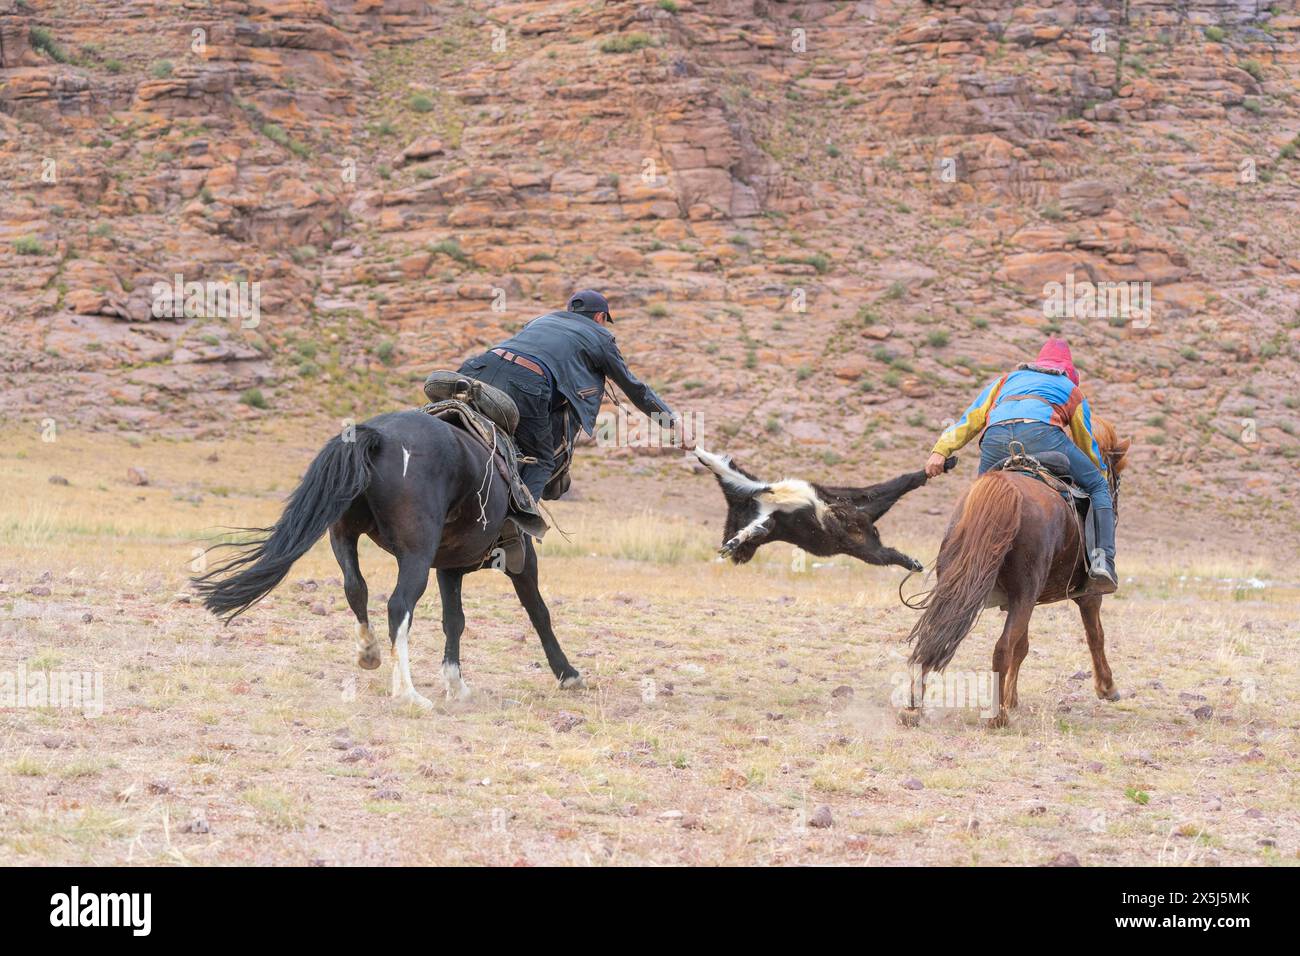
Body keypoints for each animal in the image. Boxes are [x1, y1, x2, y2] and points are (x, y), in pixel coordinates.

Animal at [191, 411, 579, 712]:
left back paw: (369, 652)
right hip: (416, 555)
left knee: (355, 589)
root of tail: (380, 437)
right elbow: (538, 612)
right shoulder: (520, 559)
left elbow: (454, 621)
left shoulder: (449, 567)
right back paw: (408, 694)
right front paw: (567, 674)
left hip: (343, 536)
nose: (563, 483)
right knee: (398, 605)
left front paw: (456, 684)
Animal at [904, 416, 1128, 723]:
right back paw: (997, 718)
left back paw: (913, 707)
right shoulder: (1087, 596)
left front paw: (1012, 699)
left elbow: (1023, 647)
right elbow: (1096, 635)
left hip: (962, 583)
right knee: (1001, 648)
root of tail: (1005, 487)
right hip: (1026, 593)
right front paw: (1107, 687)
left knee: (933, 635)